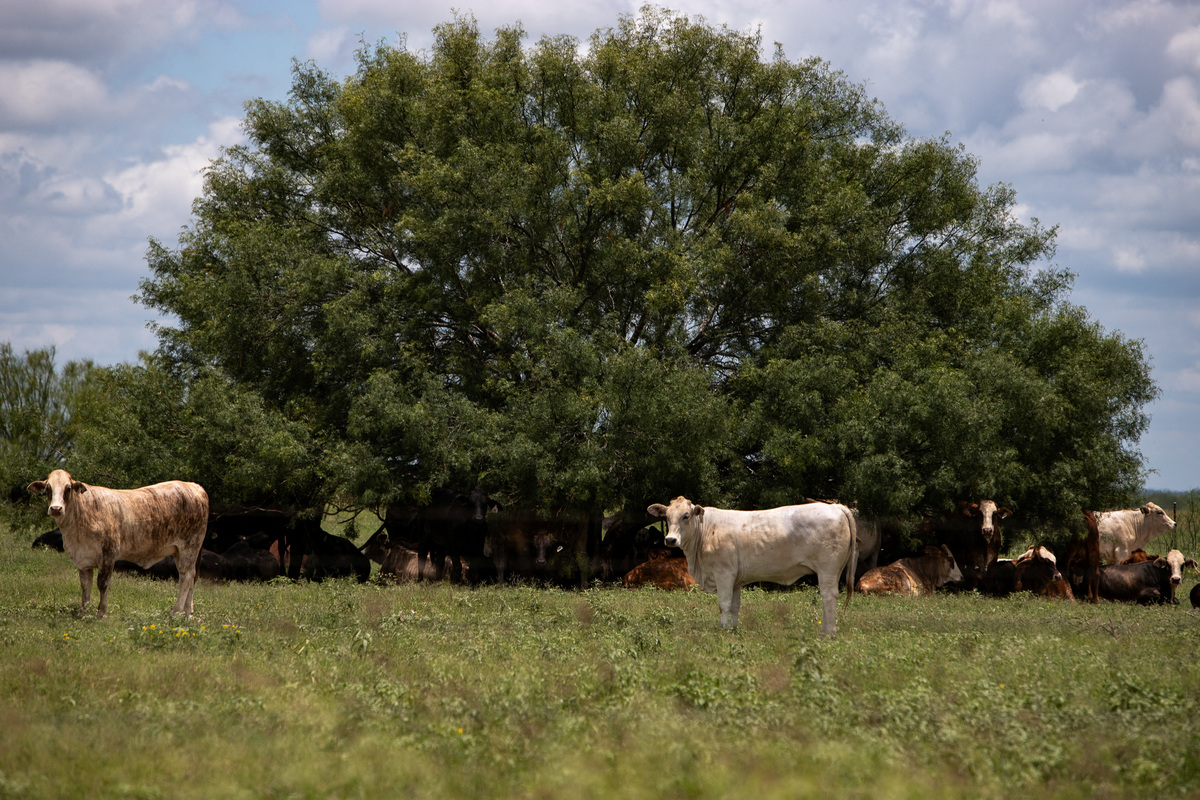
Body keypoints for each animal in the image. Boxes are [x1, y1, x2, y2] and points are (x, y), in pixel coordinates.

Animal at [27, 469, 209, 618]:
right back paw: (187, 614)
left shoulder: (108, 554)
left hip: (189, 547)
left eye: (68, 488)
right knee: (191, 577)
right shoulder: (83, 560)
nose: (56, 508)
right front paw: (82, 613)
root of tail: (193, 486)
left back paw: (175, 612)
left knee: (186, 577)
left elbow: (102, 584)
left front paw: (102, 613)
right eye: (48, 488)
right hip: (181, 551)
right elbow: (85, 587)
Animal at [646, 497, 857, 637]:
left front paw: (723, 630)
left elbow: (723, 604)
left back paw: (828, 634)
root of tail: (835, 506)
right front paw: (734, 629)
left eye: (686, 516)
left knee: (828, 597)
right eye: (666, 517)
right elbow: (734, 606)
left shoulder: (724, 573)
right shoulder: (736, 579)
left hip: (827, 569)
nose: (670, 539)